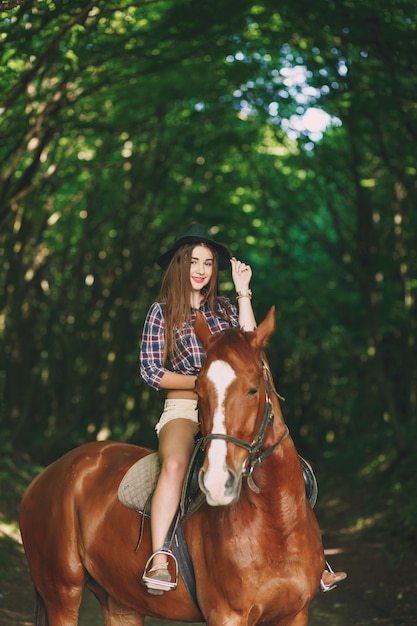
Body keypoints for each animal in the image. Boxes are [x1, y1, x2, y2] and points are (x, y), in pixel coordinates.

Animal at [19, 308, 324, 624]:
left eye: (253, 390)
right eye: (199, 392)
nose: (217, 482)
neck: (277, 523)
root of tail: (44, 477)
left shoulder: (296, 613)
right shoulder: (228, 615)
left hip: (121, 602)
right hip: (62, 594)